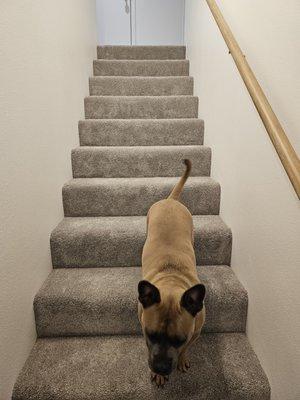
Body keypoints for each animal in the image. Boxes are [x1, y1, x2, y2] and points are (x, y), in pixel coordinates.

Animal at [138, 160, 206, 388]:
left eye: (179, 340)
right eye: (151, 335)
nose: (160, 367)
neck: (171, 282)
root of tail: (171, 201)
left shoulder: (195, 333)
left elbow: (186, 348)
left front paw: (182, 358)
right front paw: (157, 374)